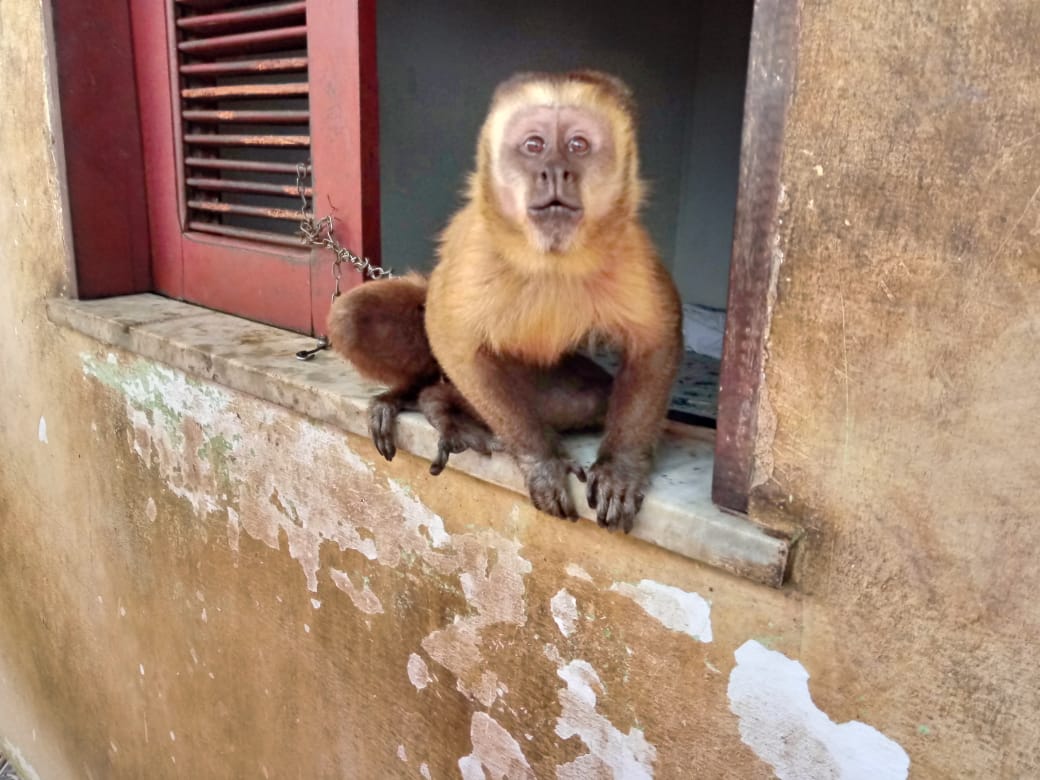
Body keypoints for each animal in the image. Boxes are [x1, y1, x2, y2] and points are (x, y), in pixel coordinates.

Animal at [328, 70, 682, 533]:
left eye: (578, 145)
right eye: (534, 145)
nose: (555, 172)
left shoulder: (628, 245)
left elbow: (656, 338)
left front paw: (620, 470)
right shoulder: (479, 246)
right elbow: (451, 335)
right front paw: (541, 462)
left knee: (588, 397)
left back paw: (438, 402)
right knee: (355, 320)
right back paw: (418, 396)